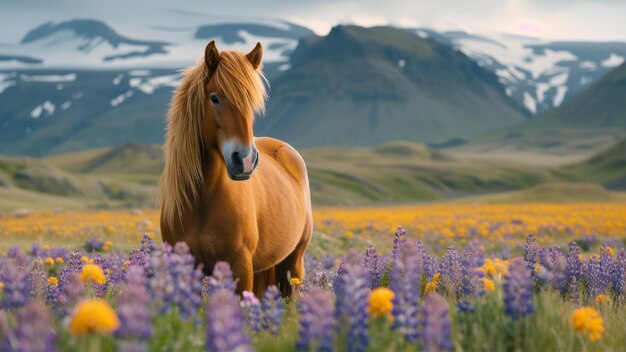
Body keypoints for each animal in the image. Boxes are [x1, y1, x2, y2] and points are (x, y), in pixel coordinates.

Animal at [157, 39, 310, 296]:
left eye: (251, 102)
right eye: (214, 98)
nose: (246, 160)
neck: (203, 200)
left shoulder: (240, 267)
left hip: (292, 264)